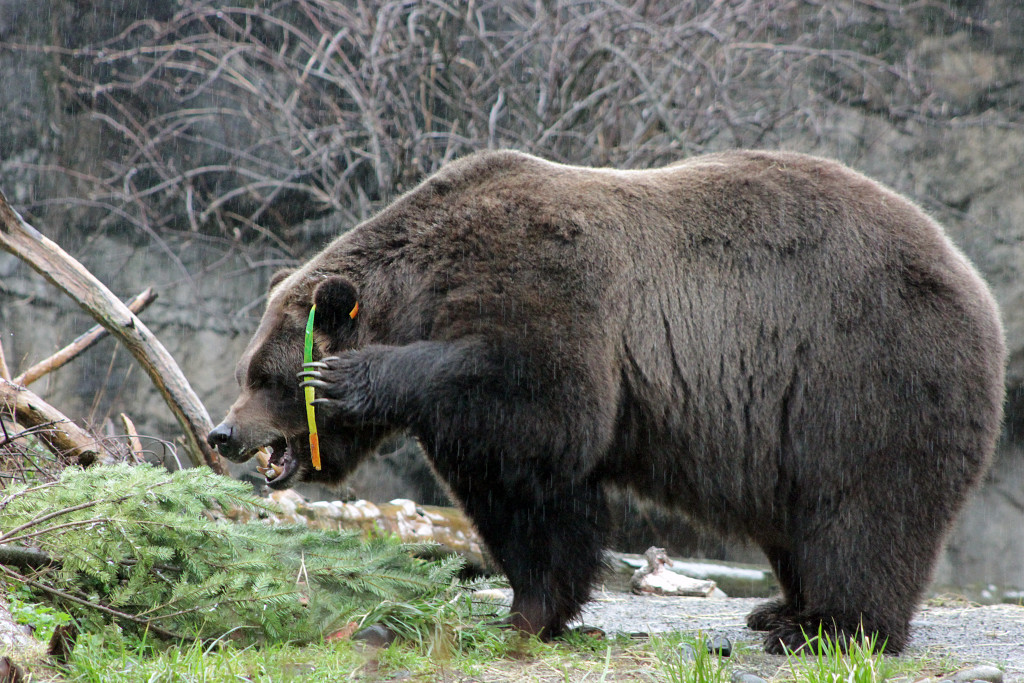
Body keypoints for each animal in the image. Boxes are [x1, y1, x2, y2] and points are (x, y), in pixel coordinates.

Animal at [207, 148, 1007, 651]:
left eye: (266, 377)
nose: (222, 433)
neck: (425, 287)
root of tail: (974, 283)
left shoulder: (546, 289)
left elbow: (541, 400)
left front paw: (348, 376)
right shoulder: (491, 426)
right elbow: (530, 503)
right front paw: (533, 610)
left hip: (864, 374)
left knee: (866, 514)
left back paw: (827, 628)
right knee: (799, 525)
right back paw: (779, 607)